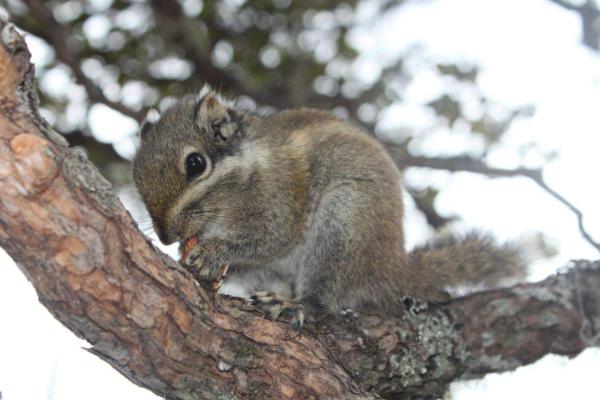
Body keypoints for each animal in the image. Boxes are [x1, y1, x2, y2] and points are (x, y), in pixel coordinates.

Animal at [132, 86, 524, 326]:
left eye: (195, 164)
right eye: (135, 172)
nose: (166, 237)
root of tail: (394, 268)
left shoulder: (281, 197)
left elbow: (270, 238)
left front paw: (214, 251)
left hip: (343, 223)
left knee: (324, 300)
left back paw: (296, 305)